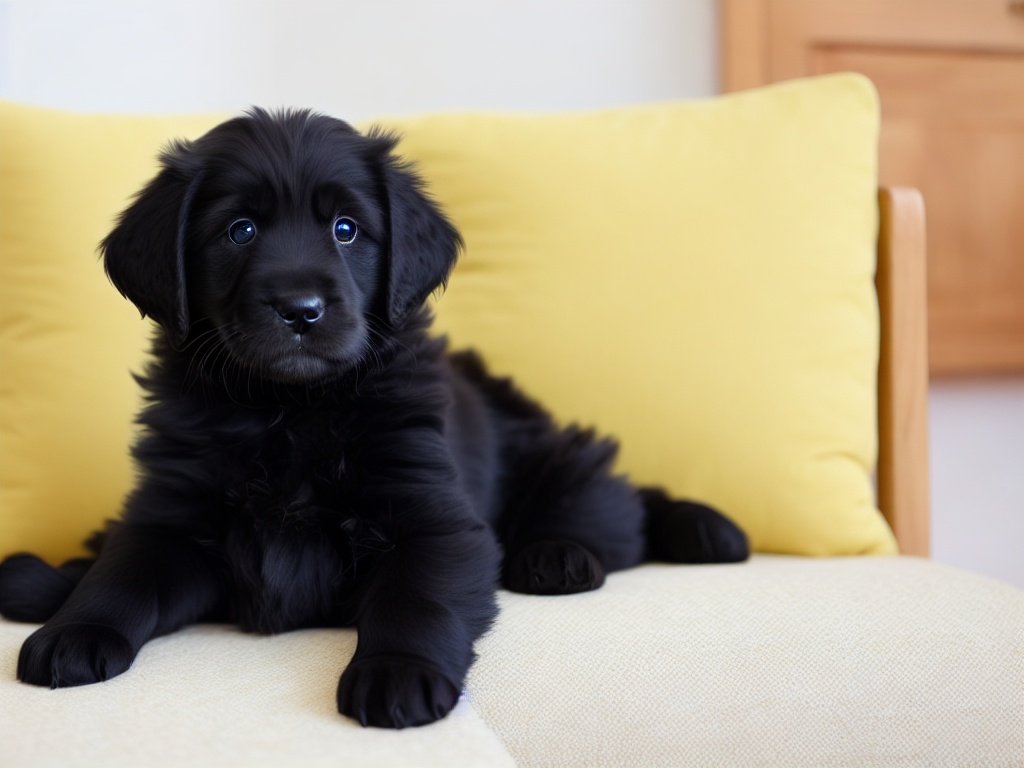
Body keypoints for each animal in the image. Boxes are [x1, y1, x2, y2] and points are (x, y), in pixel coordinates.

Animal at [0, 108, 745, 729]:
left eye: (346, 229)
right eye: (240, 230)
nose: (300, 309)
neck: (286, 412)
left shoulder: (434, 520)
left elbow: (416, 598)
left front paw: (397, 672)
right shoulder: (170, 515)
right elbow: (122, 569)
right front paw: (75, 629)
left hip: (559, 456)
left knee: (616, 512)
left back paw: (557, 555)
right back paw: (40, 579)